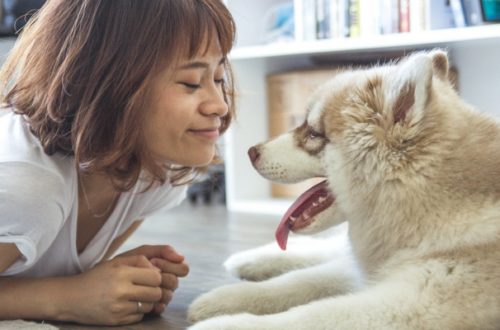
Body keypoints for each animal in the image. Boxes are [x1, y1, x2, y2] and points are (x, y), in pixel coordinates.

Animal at [187, 49, 500, 330]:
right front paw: (226, 298)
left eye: (313, 133)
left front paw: (223, 324)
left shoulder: (413, 304)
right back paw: (251, 259)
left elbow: (310, 314)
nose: (251, 152)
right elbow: (301, 281)